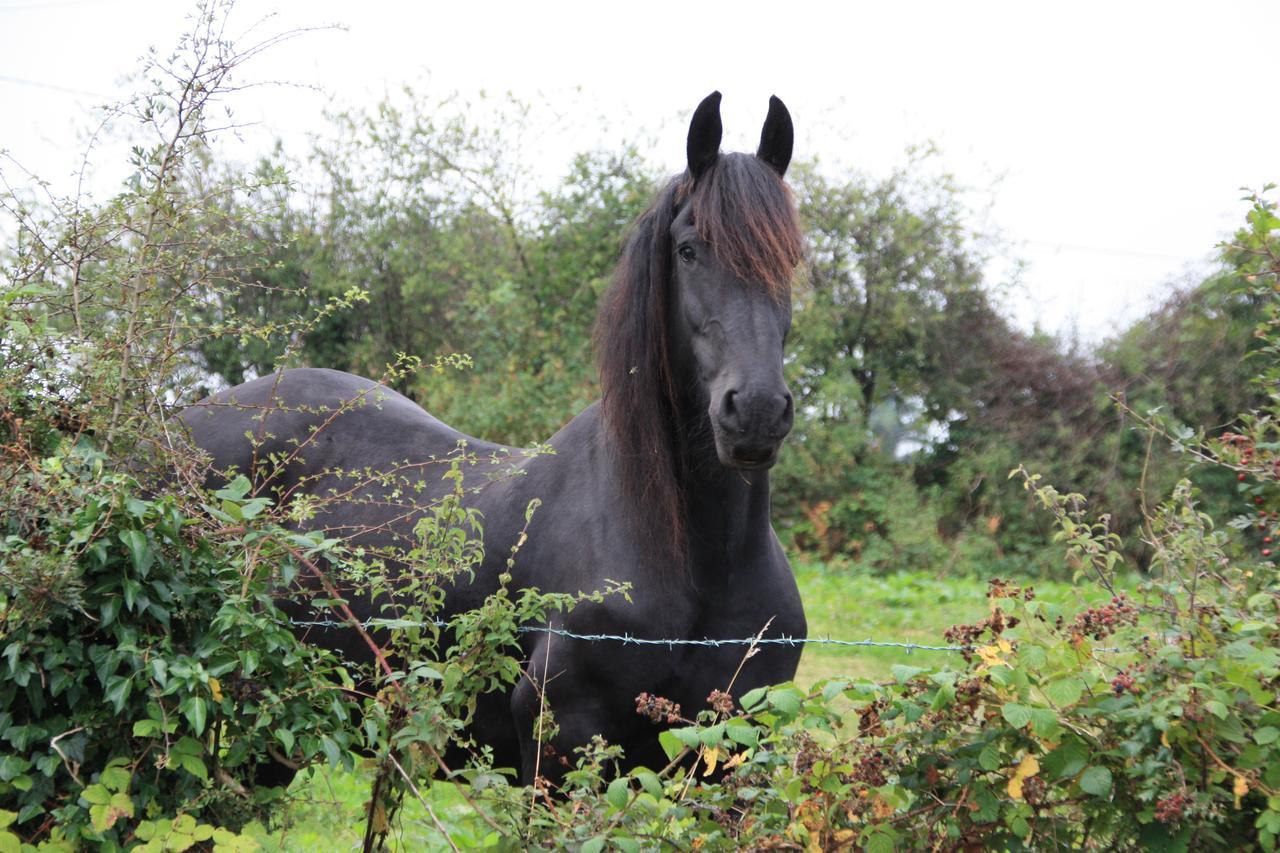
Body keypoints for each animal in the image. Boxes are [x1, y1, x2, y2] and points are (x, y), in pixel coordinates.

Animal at [179, 91, 803, 778]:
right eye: (689, 249)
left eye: (792, 258)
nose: (756, 412)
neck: (699, 560)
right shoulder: (564, 742)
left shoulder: (734, 747)